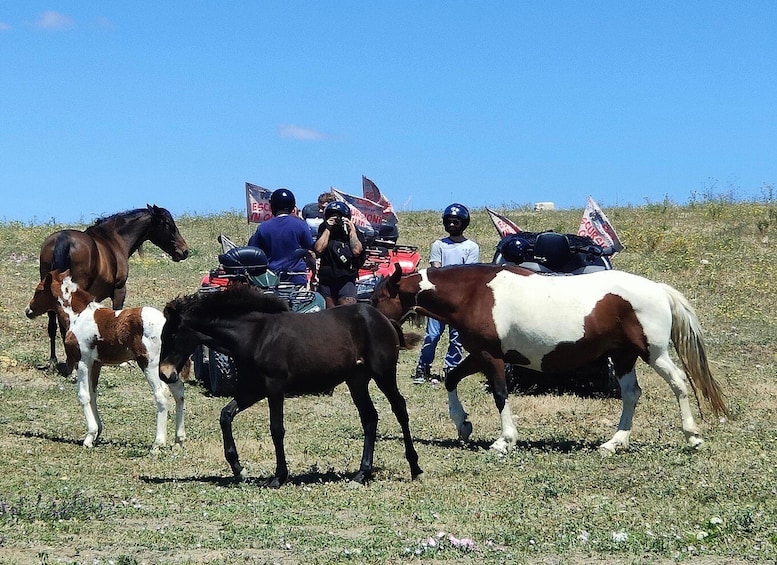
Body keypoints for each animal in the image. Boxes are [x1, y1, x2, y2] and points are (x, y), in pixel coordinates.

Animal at [25, 268, 186, 450]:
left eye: (38, 290)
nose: (28, 310)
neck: (78, 316)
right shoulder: (96, 364)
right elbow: (93, 394)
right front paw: (97, 433)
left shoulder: (82, 362)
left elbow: (83, 396)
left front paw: (89, 437)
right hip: (169, 368)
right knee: (179, 392)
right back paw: (179, 440)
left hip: (150, 365)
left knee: (161, 395)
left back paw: (157, 444)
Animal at [33, 205, 191, 372]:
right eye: (167, 223)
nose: (184, 251)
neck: (114, 240)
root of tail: (63, 239)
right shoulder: (119, 290)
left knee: (52, 325)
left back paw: (54, 360)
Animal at [158, 284, 424, 486]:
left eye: (171, 335)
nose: (165, 374)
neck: (255, 335)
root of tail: (385, 319)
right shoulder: (254, 389)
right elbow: (226, 415)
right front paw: (238, 469)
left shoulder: (275, 387)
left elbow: (277, 429)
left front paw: (279, 476)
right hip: (356, 380)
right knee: (369, 417)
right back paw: (361, 473)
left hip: (383, 373)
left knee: (399, 409)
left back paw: (415, 467)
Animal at [370, 264, 728, 454]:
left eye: (377, 297)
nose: (369, 323)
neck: (473, 293)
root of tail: (657, 289)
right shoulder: (480, 354)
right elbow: (451, 378)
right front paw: (463, 425)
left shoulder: (491, 357)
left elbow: (500, 394)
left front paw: (505, 440)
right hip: (624, 356)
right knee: (631, 394)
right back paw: (614, 442)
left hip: (654, 353)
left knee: (679, 383)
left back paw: (692, 436)